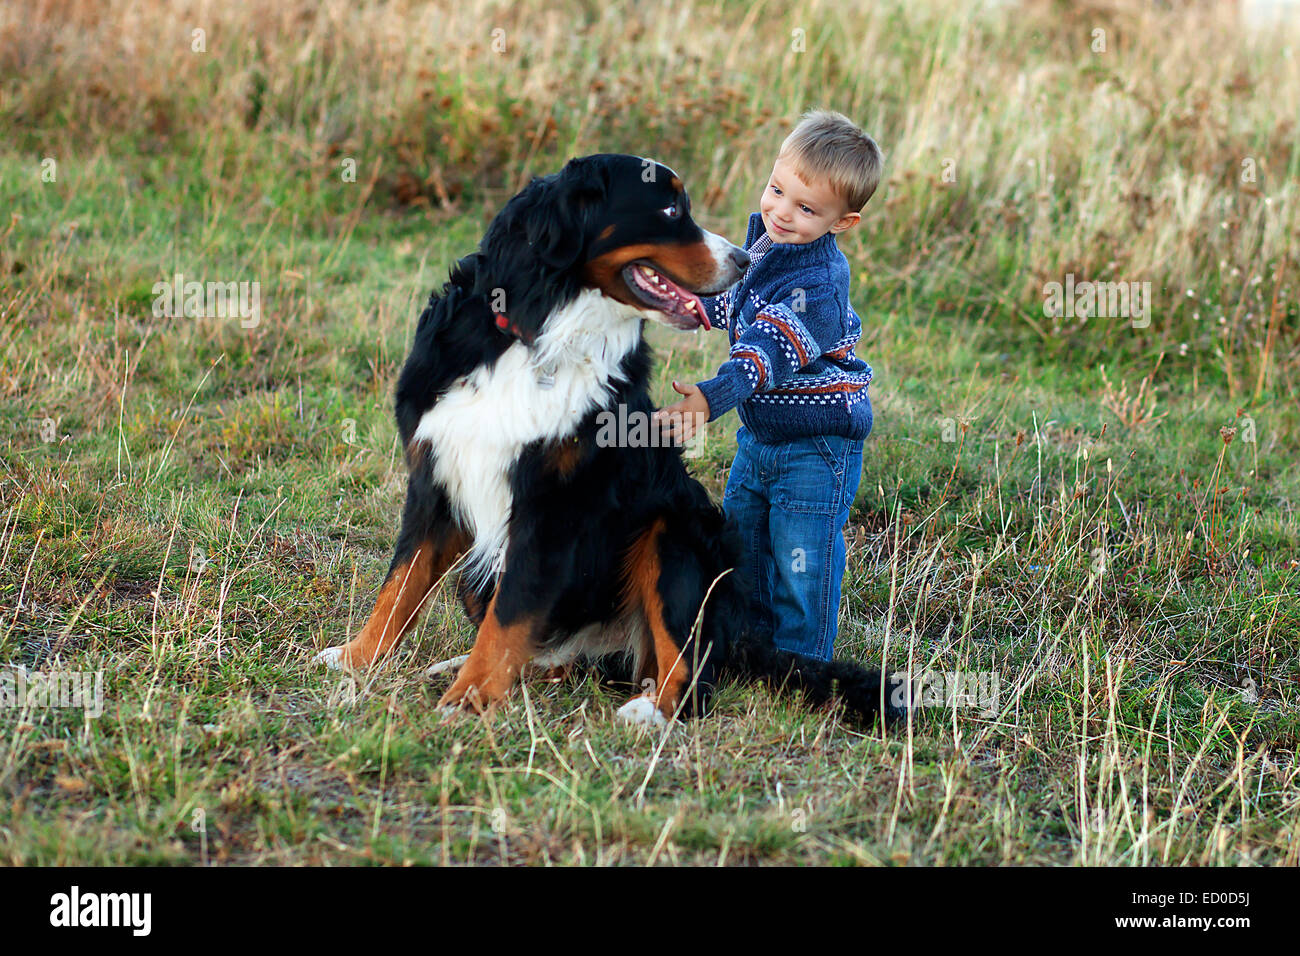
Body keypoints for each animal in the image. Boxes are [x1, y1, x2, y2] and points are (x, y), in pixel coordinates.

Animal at [317, 153, 904, 728]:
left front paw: (471, 698)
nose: (742, 260)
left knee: (689, 672)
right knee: (554, 657)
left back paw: (651, 711)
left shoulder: (555, 506)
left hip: (676, 534)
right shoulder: (436, 477)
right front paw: (356, 658)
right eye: (669, 209)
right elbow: (401, 585)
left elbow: (509, 612)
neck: (541, 335)